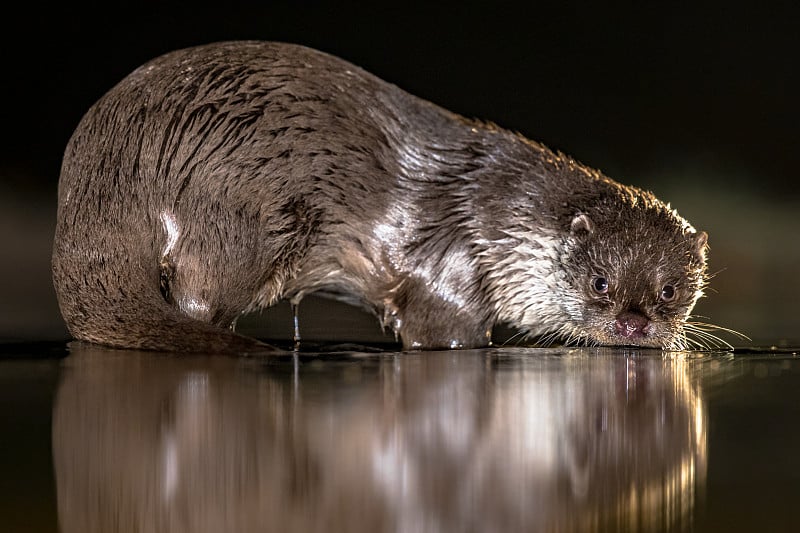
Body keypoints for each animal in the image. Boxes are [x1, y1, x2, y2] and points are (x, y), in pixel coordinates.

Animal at [53, 39, 720, 352]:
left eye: (669, 291)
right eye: (600, 283)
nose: (634, 324)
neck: (498, 219)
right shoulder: (450, 272)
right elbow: (443, 333)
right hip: (238, 209)